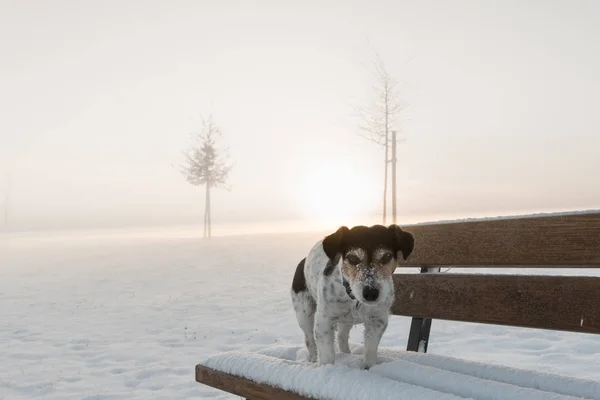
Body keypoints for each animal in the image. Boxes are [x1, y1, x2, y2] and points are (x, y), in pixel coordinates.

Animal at [290, 222, 412, 368]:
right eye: (353, 258)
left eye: (386, 257)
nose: (371, 293)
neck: (354, 299)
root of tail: (303, 260)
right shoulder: (323, 321)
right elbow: (327, 355)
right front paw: (327, 368)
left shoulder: (378, 320)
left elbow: (370, 352)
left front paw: (367, 367)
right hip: (304, 313)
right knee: (309, 341)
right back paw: (313, 359)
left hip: (345, 321)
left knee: (342, 337)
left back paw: (347, 353)